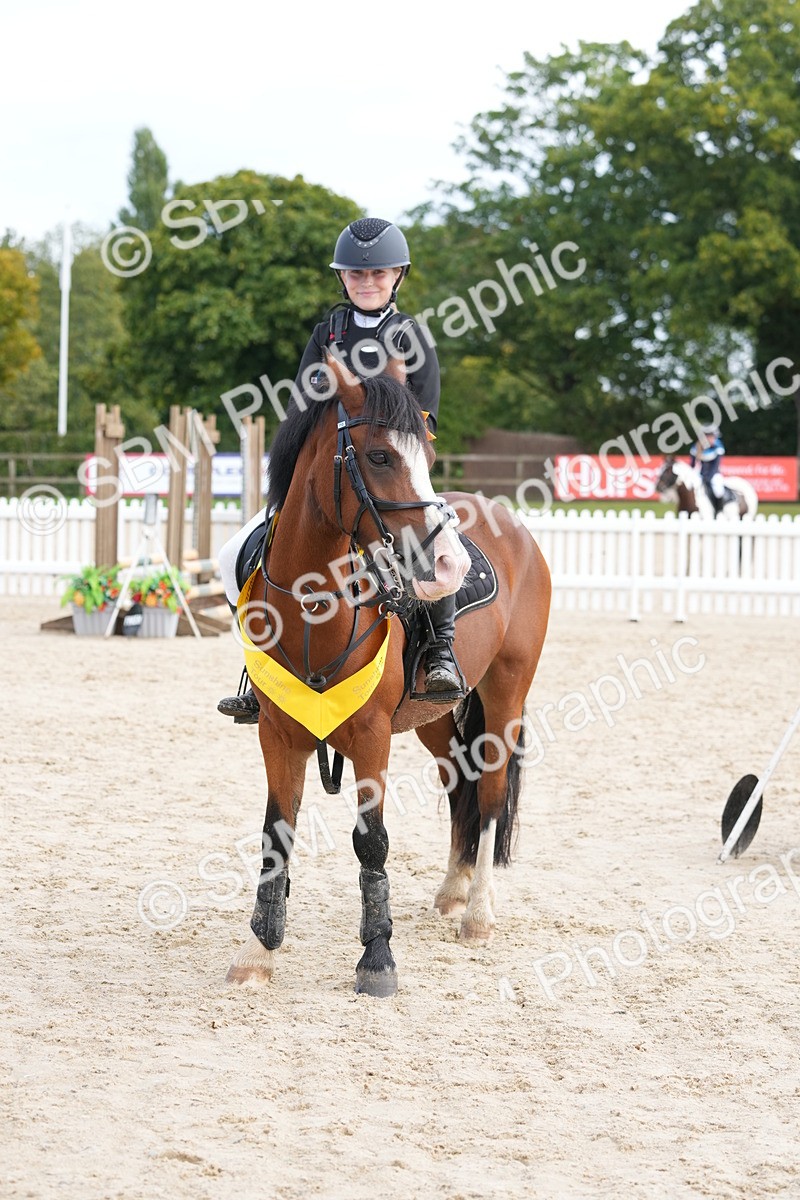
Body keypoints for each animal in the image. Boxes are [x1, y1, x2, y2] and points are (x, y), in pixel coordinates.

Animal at [225, 364, 551, 997]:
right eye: (378, 456)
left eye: (428, 453)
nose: (449, 564)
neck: (315, 608)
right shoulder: (278, 735)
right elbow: (276, 836)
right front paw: (258, 952)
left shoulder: (372, 736)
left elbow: (370, 841)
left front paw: (377, 958)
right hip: (433, 720)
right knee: (459, 784)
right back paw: (452, 891)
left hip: (505, 697)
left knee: (491, 793)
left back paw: (478, 914)